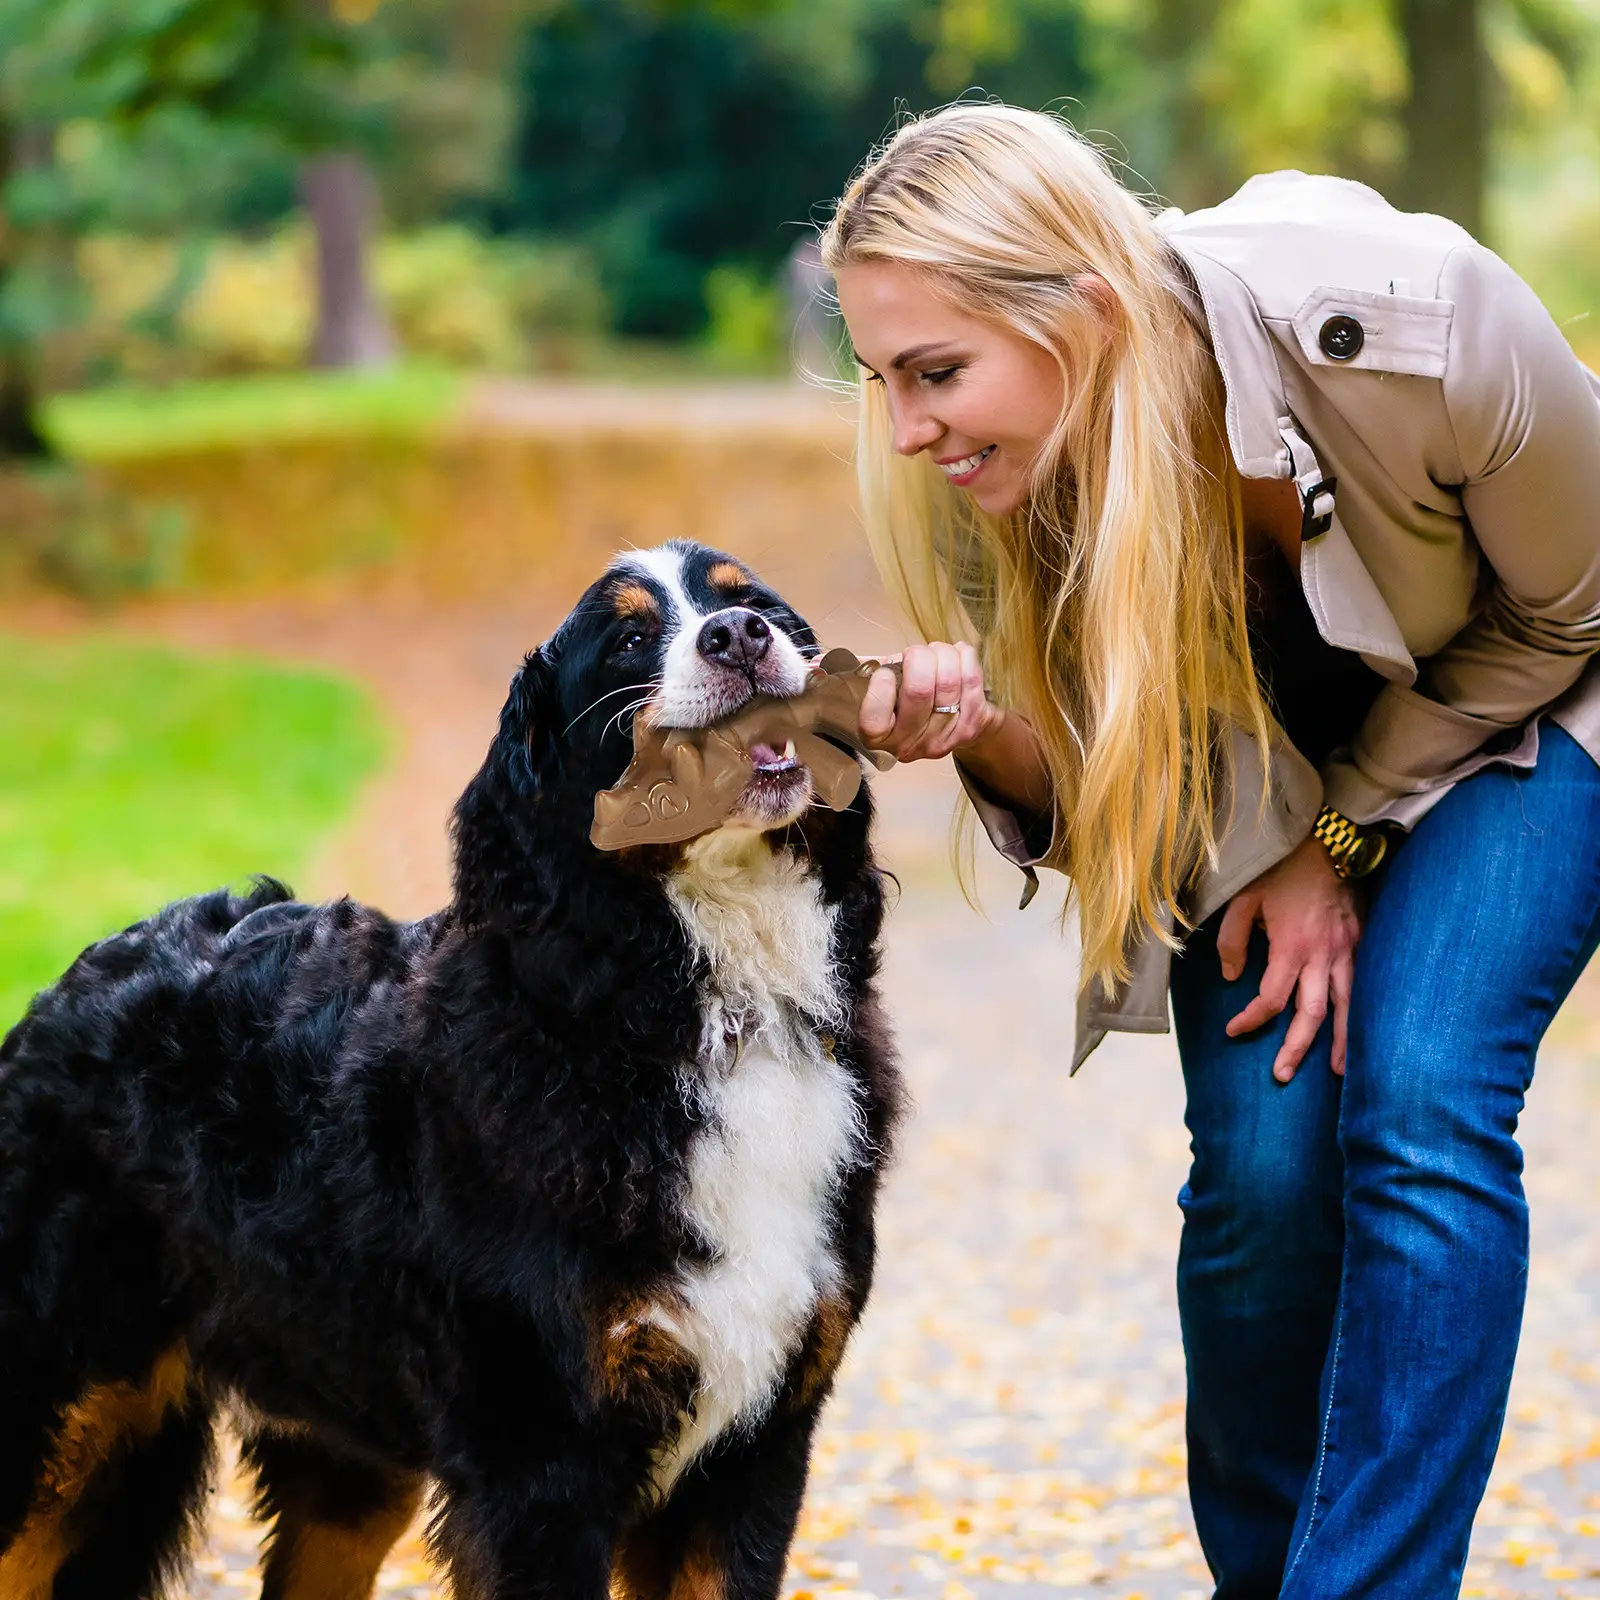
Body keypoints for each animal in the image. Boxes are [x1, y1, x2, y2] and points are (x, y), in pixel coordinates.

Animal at [0, 544, 902, 1600]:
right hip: (60, 1420)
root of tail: (64, 984)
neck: (692, 1011)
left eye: (751, 602)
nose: (737, 638)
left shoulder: (757, 1451)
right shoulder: (539, 1459)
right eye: (630, 639)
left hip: (338, 1456)